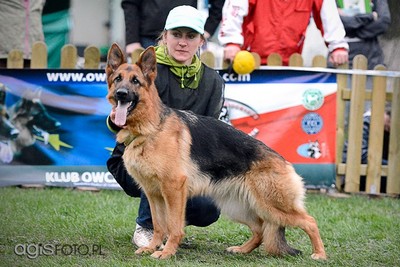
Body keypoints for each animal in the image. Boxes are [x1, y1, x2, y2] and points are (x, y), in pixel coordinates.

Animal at [105, 44, 324, 262]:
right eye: (118, 79)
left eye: (135, 81)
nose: (121, 94)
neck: (150, 128)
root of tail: (283, 161)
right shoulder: (153, 193)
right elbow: (159, 225)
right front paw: (152, 247)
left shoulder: (173, 189)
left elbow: (173, 226)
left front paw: (167, 252)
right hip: (239, 207)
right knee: (260, 230)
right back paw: (241, 250)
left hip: (272, 206)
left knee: (310, 221)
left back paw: (319, 254)